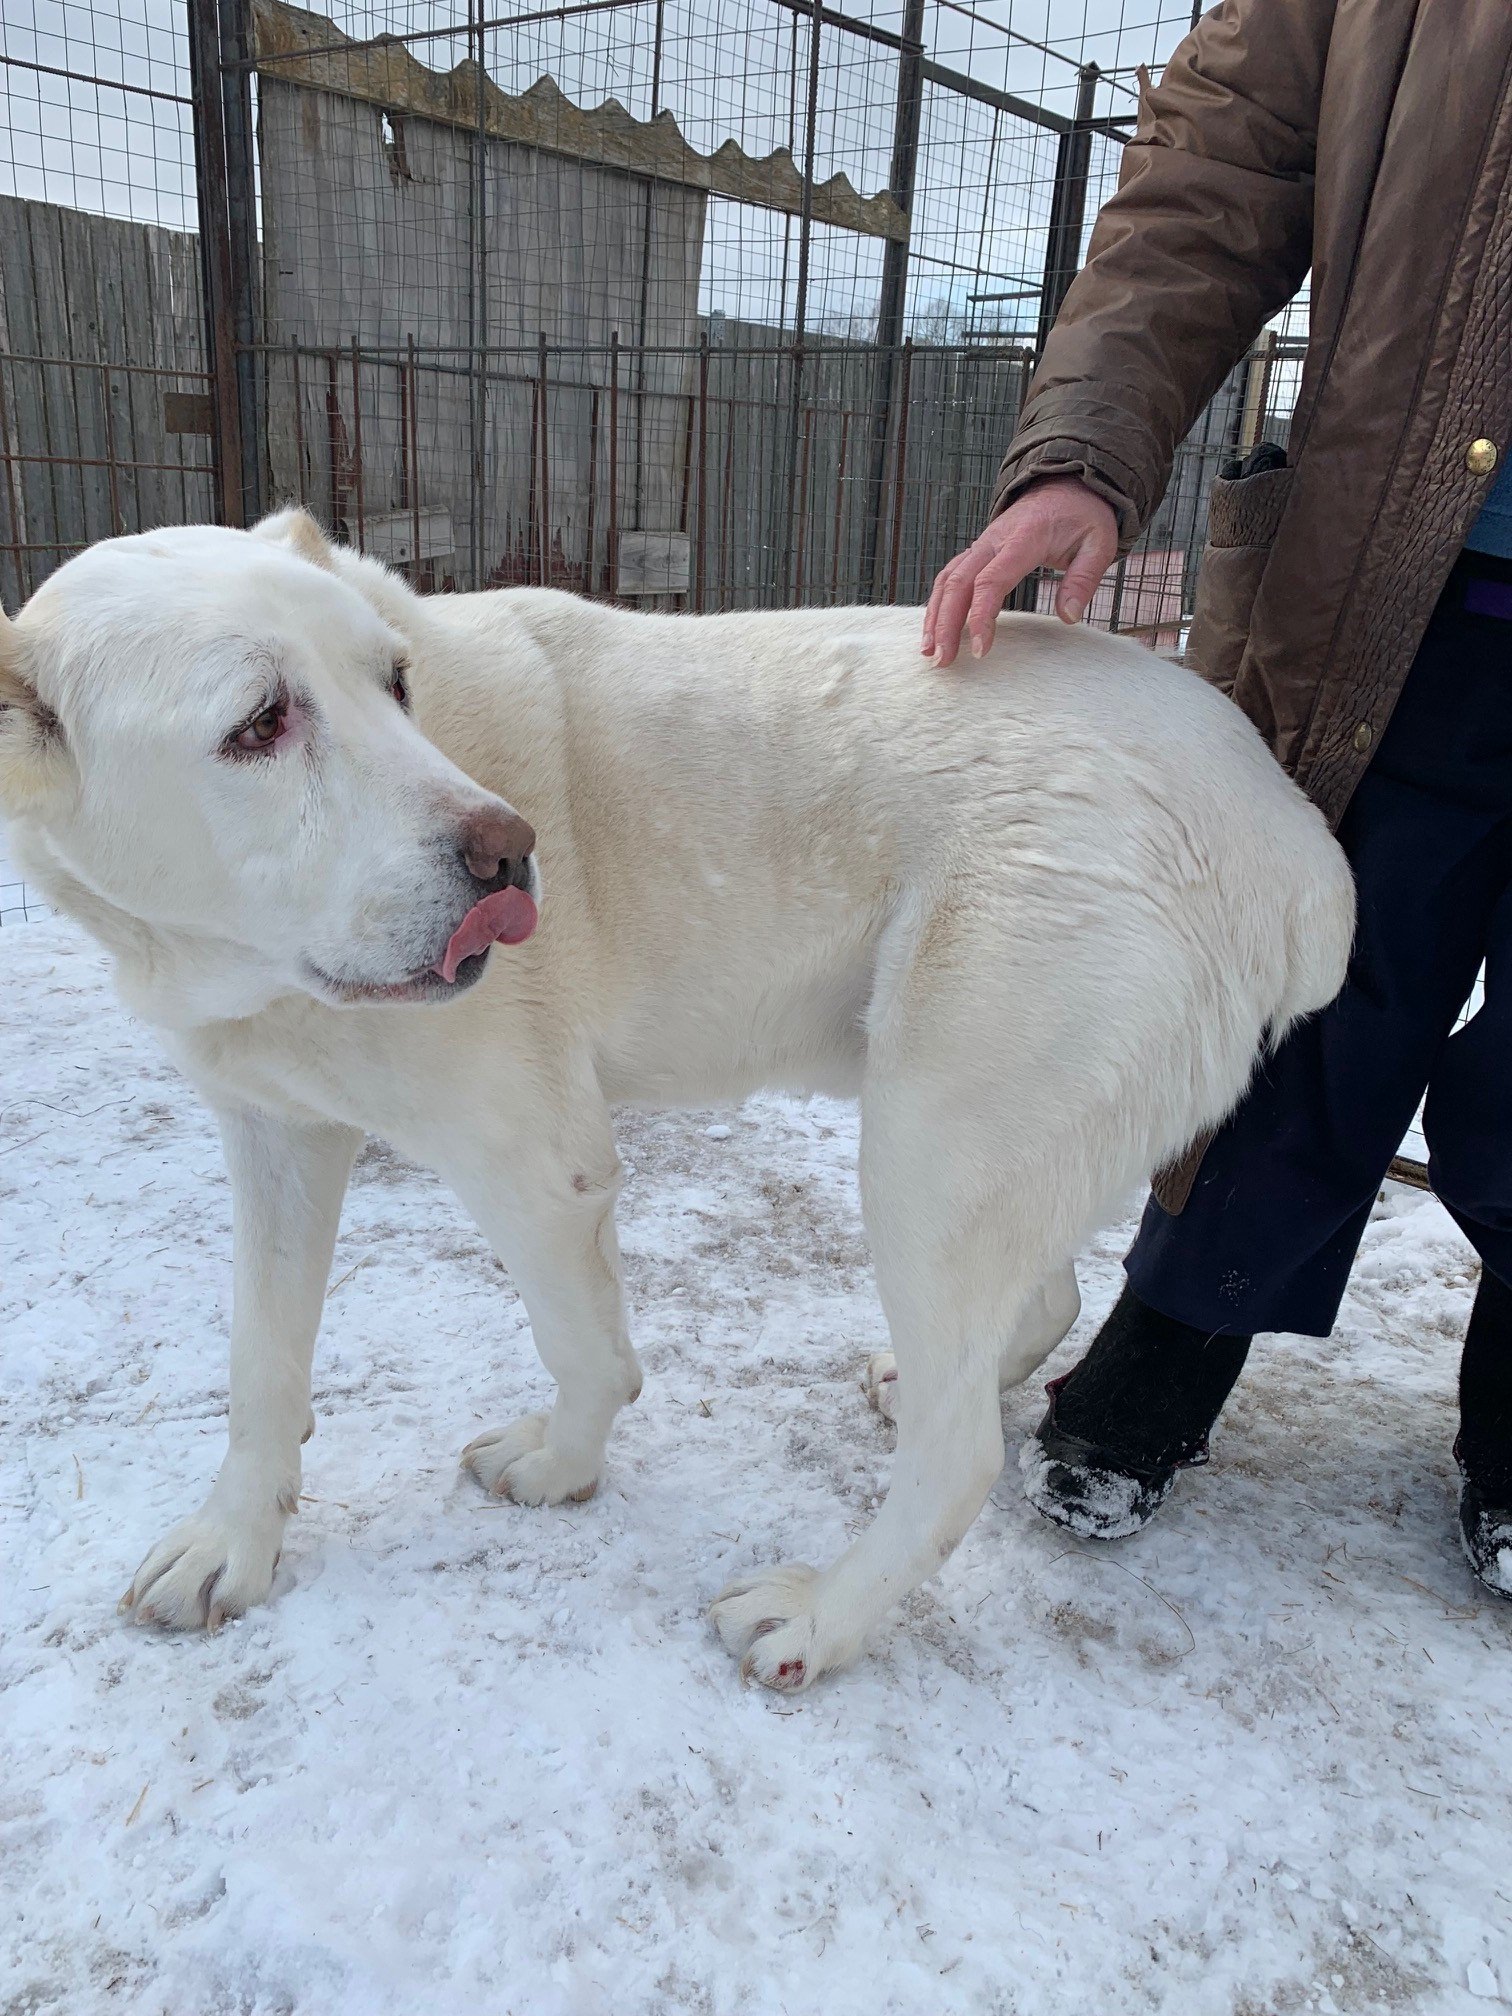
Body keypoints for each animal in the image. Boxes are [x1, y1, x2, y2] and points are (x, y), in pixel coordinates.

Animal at [0, 508, 1346, 1685]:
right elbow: (261, 1361)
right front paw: (235, 1541)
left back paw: (822, 1617)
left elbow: (585, 1349)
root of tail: (1288, 828)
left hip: (925, 1149)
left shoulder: (536, 1164)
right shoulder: (276, 1137)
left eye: (394, 683)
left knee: (959, 1452)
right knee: (1039, 1302)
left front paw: (560, 1468)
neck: (252, 961)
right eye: (260, 722)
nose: (510, 852)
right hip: (980, 1147)